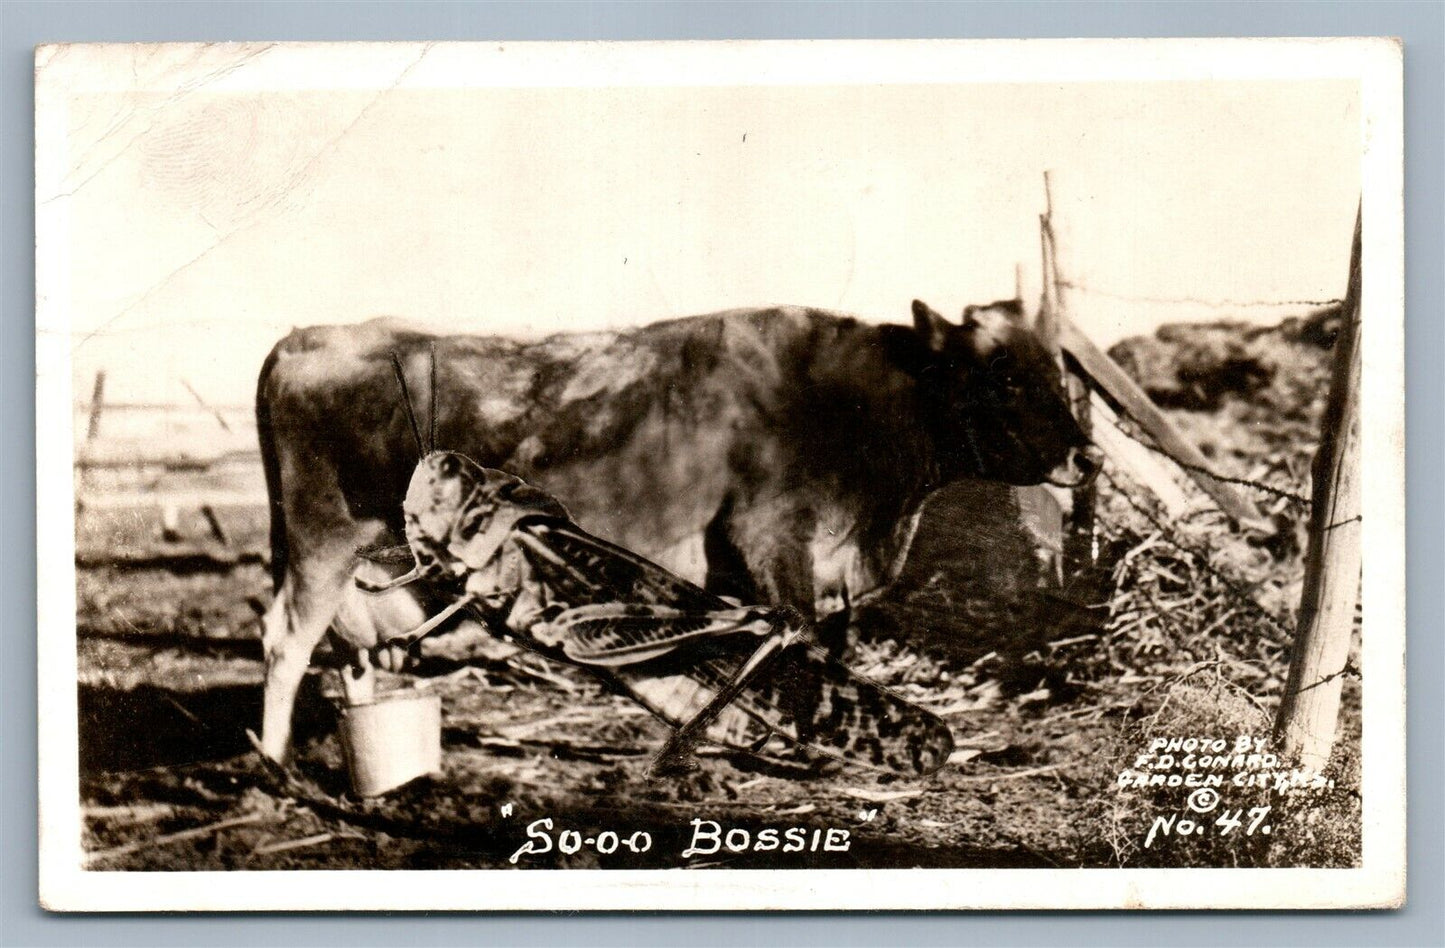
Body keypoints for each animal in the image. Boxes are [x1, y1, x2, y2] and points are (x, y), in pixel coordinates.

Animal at [254, 299, 1097, 762]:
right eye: (1005, 378)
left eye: (1056, 373)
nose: (1084, 456)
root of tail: (305, 336)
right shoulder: (771, 541)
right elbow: (797, 645)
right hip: (323, 534)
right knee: (287, 639)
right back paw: (275, 762)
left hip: (357, 553)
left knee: (346, 647)